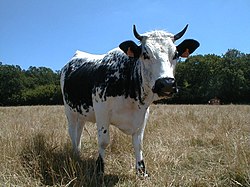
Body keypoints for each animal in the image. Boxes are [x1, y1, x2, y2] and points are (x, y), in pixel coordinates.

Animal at [60, 24, 199, 179]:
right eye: (145, 54)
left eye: (176, 54)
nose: (167, 83)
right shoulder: (101, 110)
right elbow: (103, 142)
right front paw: (99, 169)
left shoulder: (143, 115)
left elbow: (138, 143)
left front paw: (142, 171)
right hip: (69, 110)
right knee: (72, 131)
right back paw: (74, 155)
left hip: (81, 112)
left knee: (79, 131)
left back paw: (78, 154)